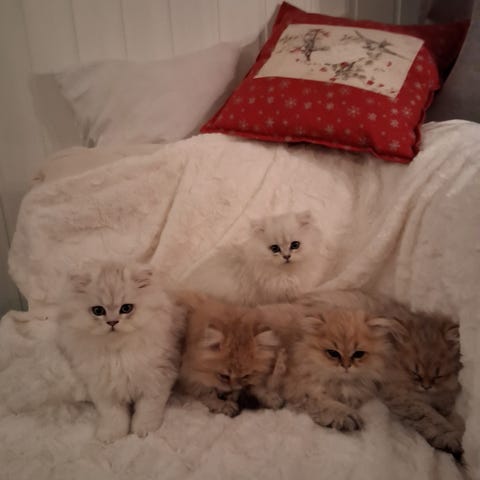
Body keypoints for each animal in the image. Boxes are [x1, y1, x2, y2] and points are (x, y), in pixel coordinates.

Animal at [56, 261, 185, 443]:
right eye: (98, 311)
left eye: (126, 308)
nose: (112, 322)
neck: (118, 353)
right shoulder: (104, 390)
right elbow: (113, 417)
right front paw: (111, 436)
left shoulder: (156, 382)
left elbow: (147, 411)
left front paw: (144, 432)